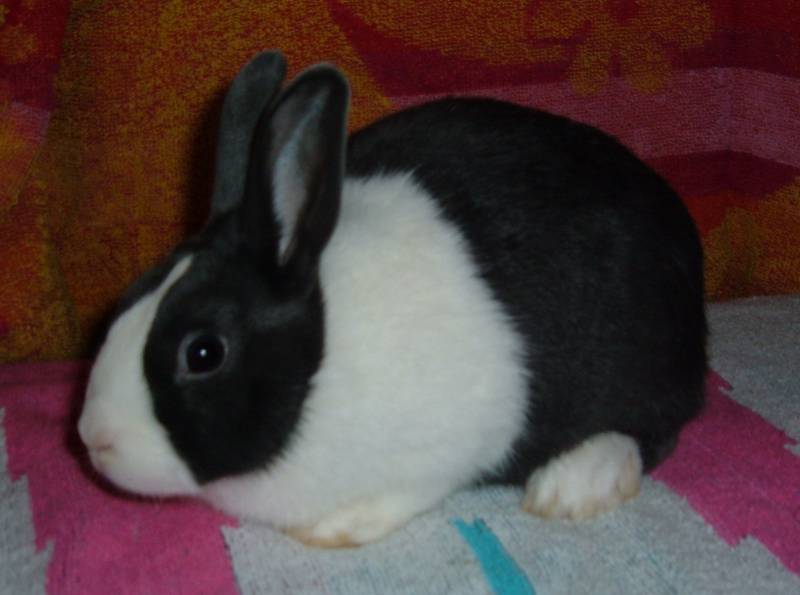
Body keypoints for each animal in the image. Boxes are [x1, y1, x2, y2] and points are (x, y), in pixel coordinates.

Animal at [78, 50, 707, 548]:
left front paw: (333, 528)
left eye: (203, 352)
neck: (323, 362)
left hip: (640, 361)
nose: (92, 438)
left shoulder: (452, 442)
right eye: (127, 301)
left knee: (659, 428)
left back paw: (574, 482)